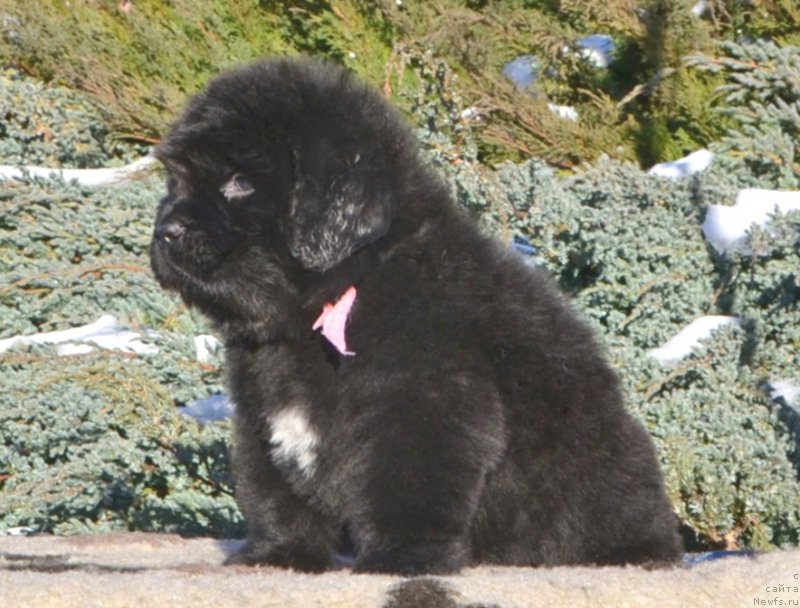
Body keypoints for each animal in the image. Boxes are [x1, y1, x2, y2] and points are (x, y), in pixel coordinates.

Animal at [150, 57, 680, 576]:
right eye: (176, 181)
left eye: (239, 182)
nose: (166, 231)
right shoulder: (261, 420)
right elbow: (273, 496)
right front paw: (280, 557)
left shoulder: (423, 408)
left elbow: (406, 491)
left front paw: (399, 561)